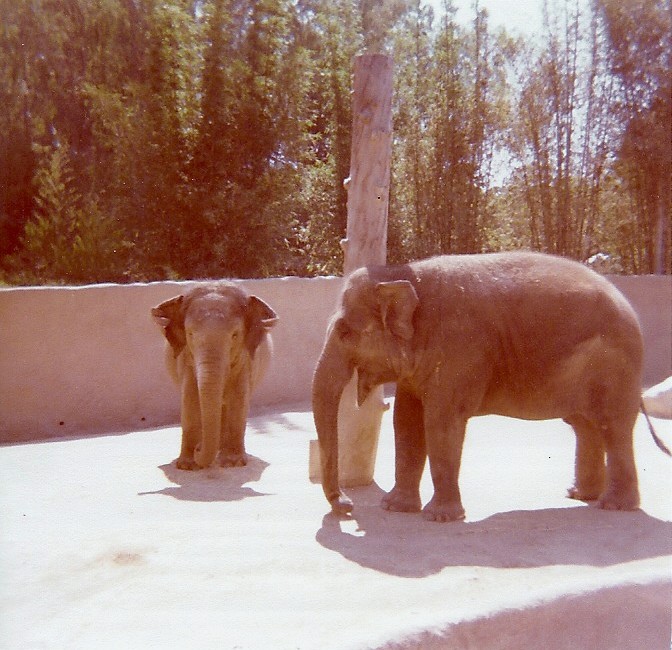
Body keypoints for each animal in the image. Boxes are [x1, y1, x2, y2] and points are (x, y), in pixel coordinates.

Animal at [152, 282, 278, 470]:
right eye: (190, 334)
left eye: (235, 335)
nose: (198, 448)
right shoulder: (186, 359)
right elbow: (190, 398)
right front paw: (187, 466)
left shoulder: (246, 361)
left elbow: (239, 398)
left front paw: (233, 463)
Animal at [312, 251, 661, 522]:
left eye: (344, 332)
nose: (347, 506)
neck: (401, 273)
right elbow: (407, 420)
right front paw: (395, 508)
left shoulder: (459, 350)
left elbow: (441, 421)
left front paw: (439, 517)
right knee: (585, 426)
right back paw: (579, 495)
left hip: (615, 370)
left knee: (612, 427)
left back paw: (614, 506)